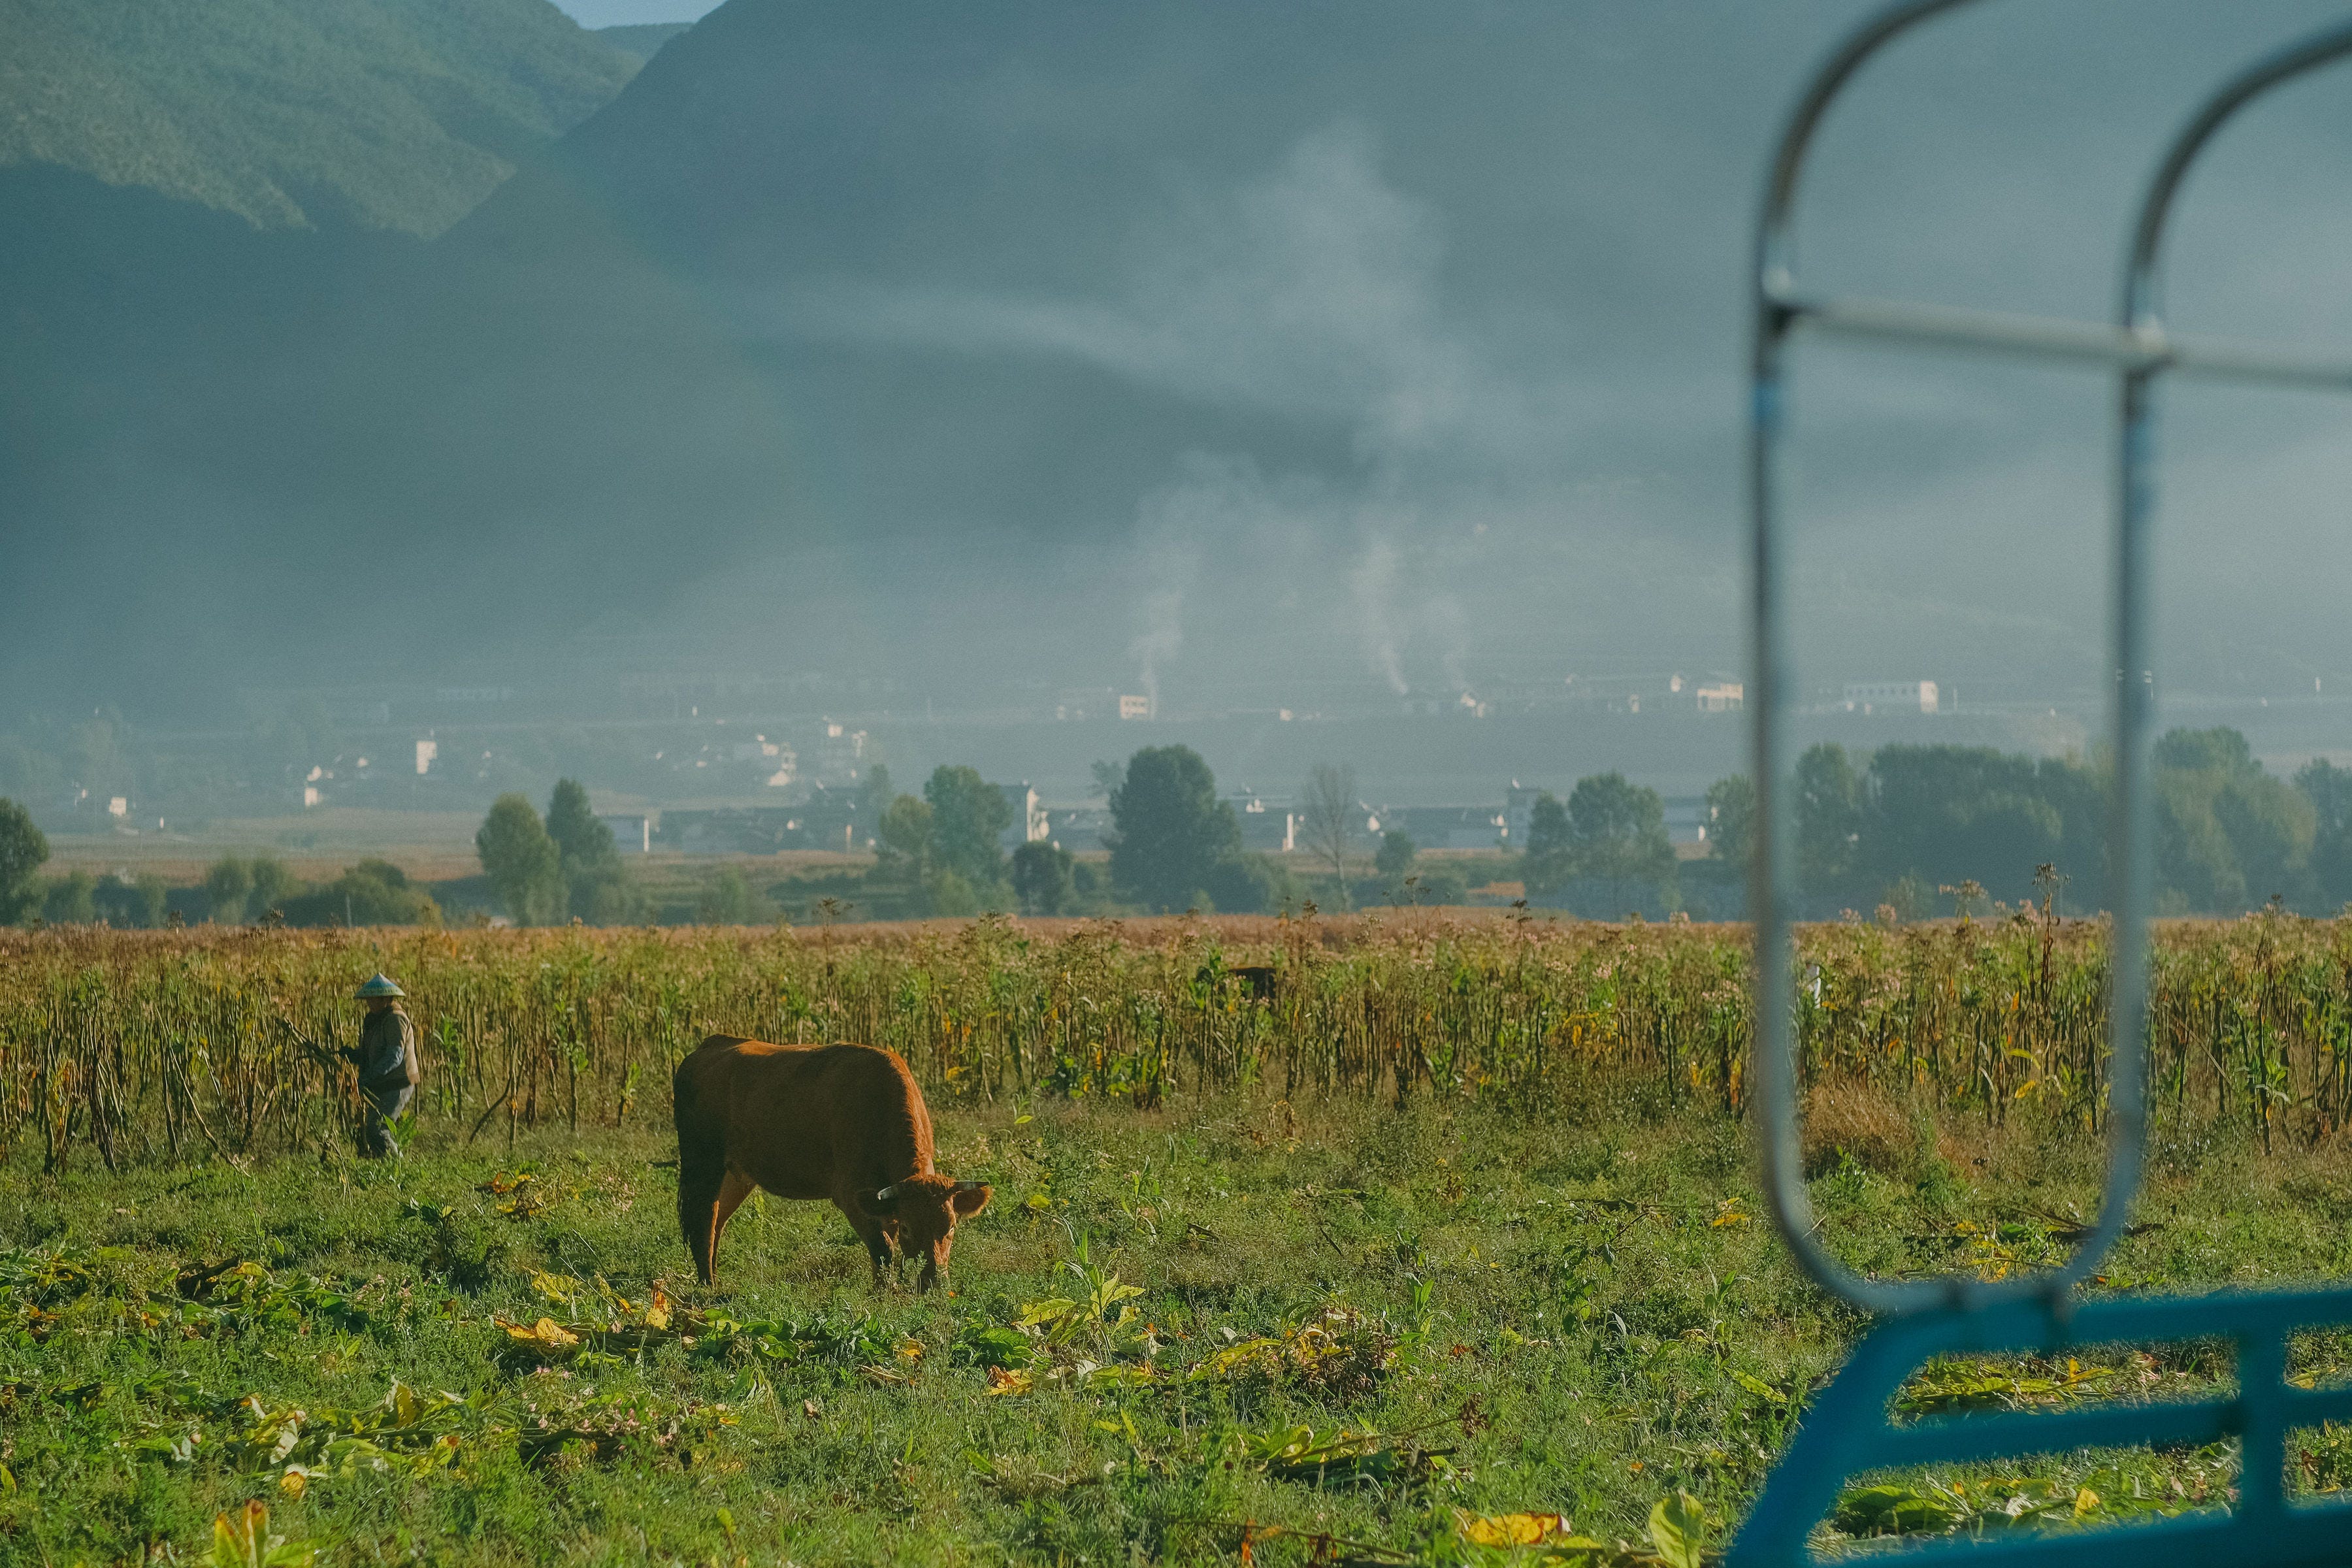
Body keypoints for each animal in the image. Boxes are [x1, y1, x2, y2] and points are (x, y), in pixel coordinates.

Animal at [672, 1034, 992, 1298]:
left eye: (951, 1226)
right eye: (908, 1229)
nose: (934, 1282)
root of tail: (711, 1045)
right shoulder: (850, 1193)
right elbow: (883, 1249)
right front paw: (884, 1293)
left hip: (736, 1175)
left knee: (718, 1221)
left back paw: (714, 1279)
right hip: (702, 1162)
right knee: (703, 1219)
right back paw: (707, 1286)